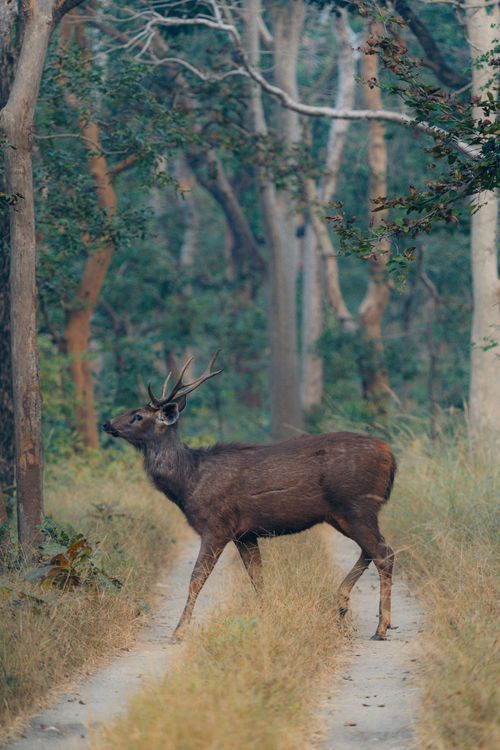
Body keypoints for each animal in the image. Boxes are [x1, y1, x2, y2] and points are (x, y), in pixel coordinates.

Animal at [103, 351, 397, 642]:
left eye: (138, 416)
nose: (107, 423)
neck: (189, 481)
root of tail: (390, 456)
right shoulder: (245, 534)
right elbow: (257, 578)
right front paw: (267, 618)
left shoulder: (217, 525)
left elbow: (197, 578)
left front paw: (179, 630)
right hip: (343, 514)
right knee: (371, 551)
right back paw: (342, 604)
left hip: (357, 506)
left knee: (384, 553)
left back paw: (380, 627)